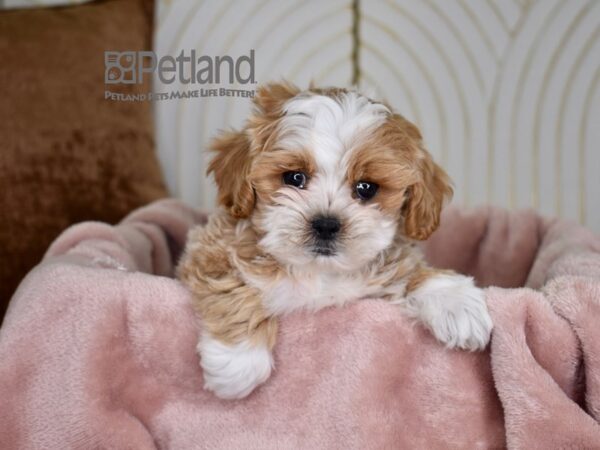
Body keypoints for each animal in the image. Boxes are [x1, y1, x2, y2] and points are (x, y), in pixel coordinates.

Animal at [177, 82, 492, 400]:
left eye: (366, 188)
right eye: (294, 177)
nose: (326, 224)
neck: (319, 272)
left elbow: (412, 272)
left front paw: (457, 304)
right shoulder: (210, 248)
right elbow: (232, 289)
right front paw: (239, 362)